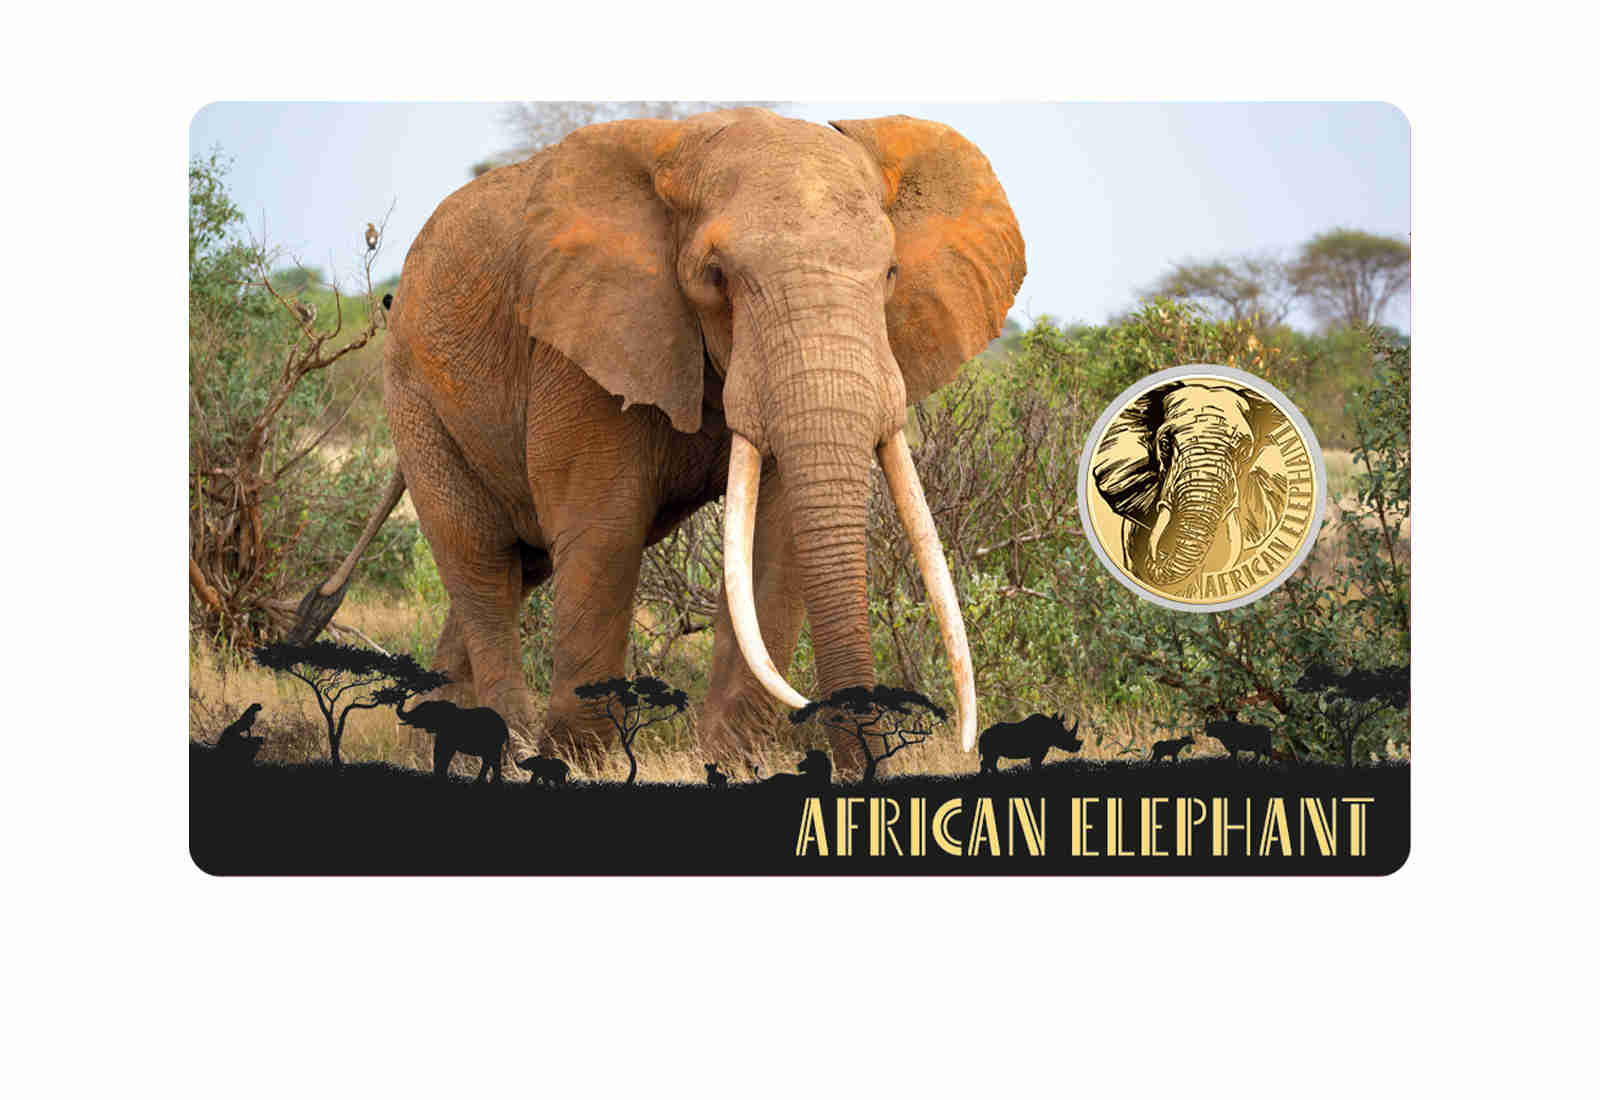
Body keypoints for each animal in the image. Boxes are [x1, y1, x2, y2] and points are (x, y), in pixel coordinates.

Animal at [291, 108, 1025, 777]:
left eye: (891, 273)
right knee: (480, 561)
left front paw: (733, 765)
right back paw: (512, 750)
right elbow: (604, 529)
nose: (863, 770)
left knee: (518, 567)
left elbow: (776, 542)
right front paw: (581, 764)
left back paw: (428, 747)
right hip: (416, 398)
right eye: (717, 276)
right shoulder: (582, 342)